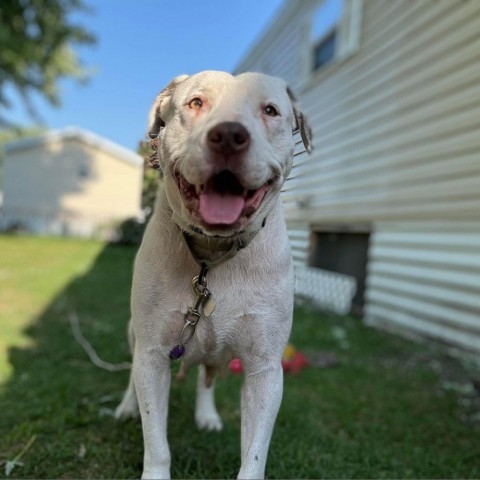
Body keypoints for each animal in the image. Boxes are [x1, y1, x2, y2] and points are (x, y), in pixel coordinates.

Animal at [115, 69, 312, 478]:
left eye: (270, 110)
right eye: (196, 103)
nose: (229, 134)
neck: (213, 253)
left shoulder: (265, 370)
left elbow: (254, 455)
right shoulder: (152, 353)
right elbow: (156, 441)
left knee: (206, 375)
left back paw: (206, 414)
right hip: (134, 333)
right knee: (132, 372)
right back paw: (126, 406)